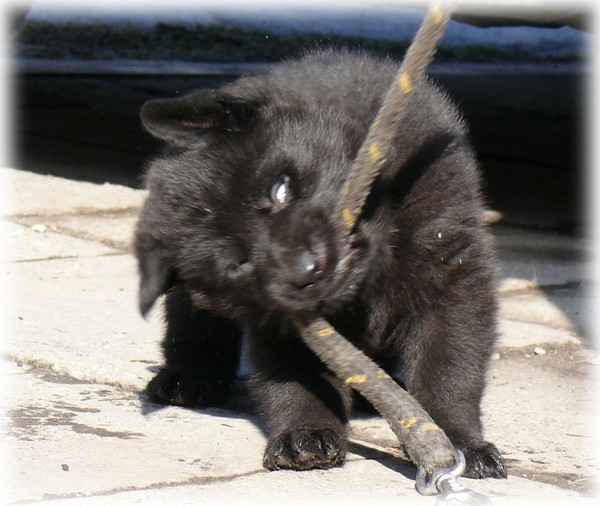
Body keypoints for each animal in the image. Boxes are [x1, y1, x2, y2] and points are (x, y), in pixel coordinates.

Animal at [134, 49, 507, 479]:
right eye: (239, 264)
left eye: (280, 188)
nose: (305, 272)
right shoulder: (283, 322)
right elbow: (296, 377)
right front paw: (304, 435)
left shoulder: (451, 268)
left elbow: (448, 366)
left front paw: (459, 442)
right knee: (192, 323)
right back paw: (186, 377)